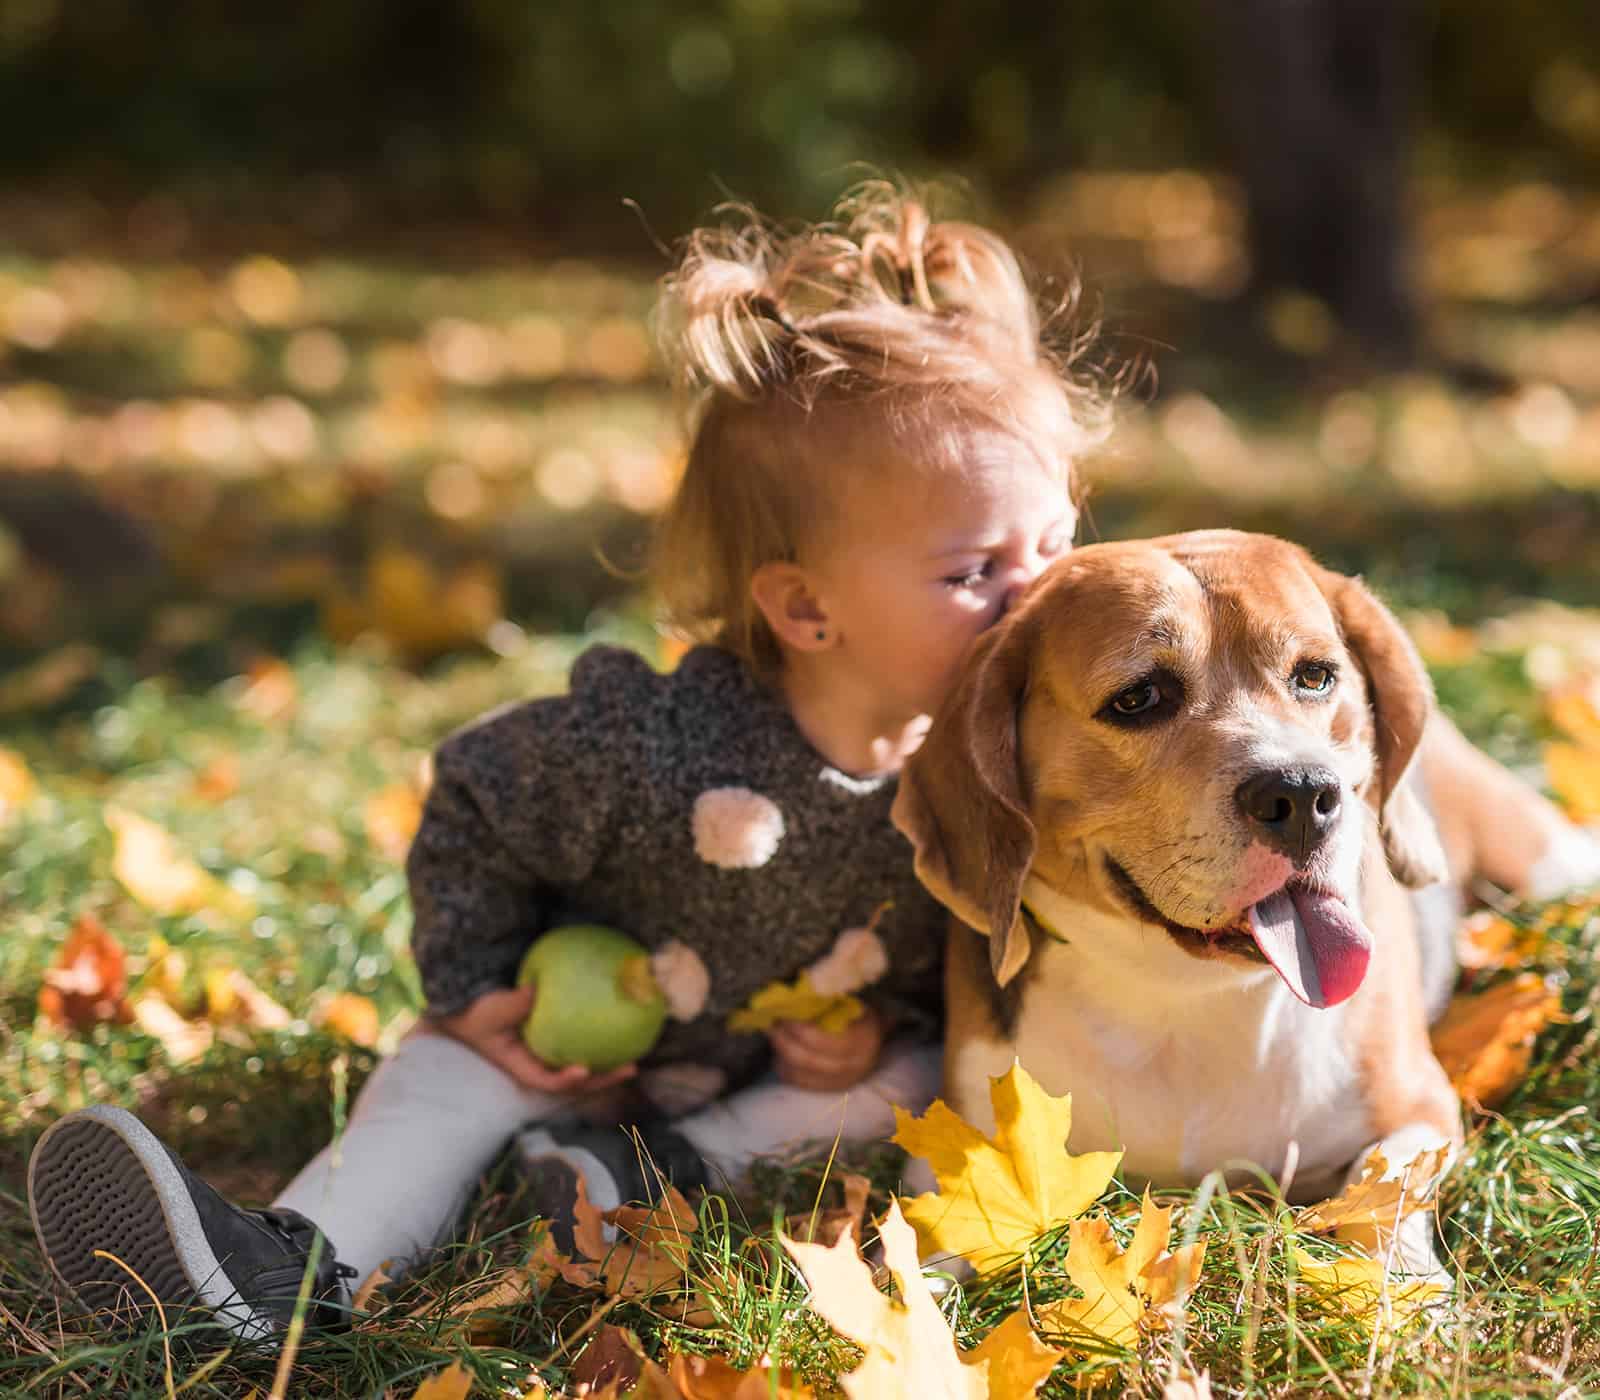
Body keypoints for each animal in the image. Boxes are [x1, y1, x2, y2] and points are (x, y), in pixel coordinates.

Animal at [896, 531, 1593, 1273]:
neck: (1183, 998)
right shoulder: (956, 1135)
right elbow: (941, 1223)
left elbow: (1379, 1188)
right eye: (1138, 697)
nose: (1303, 796)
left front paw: (1401, 1284)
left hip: (1543, 859)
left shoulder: (1421, 1108)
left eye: (1314, 676)